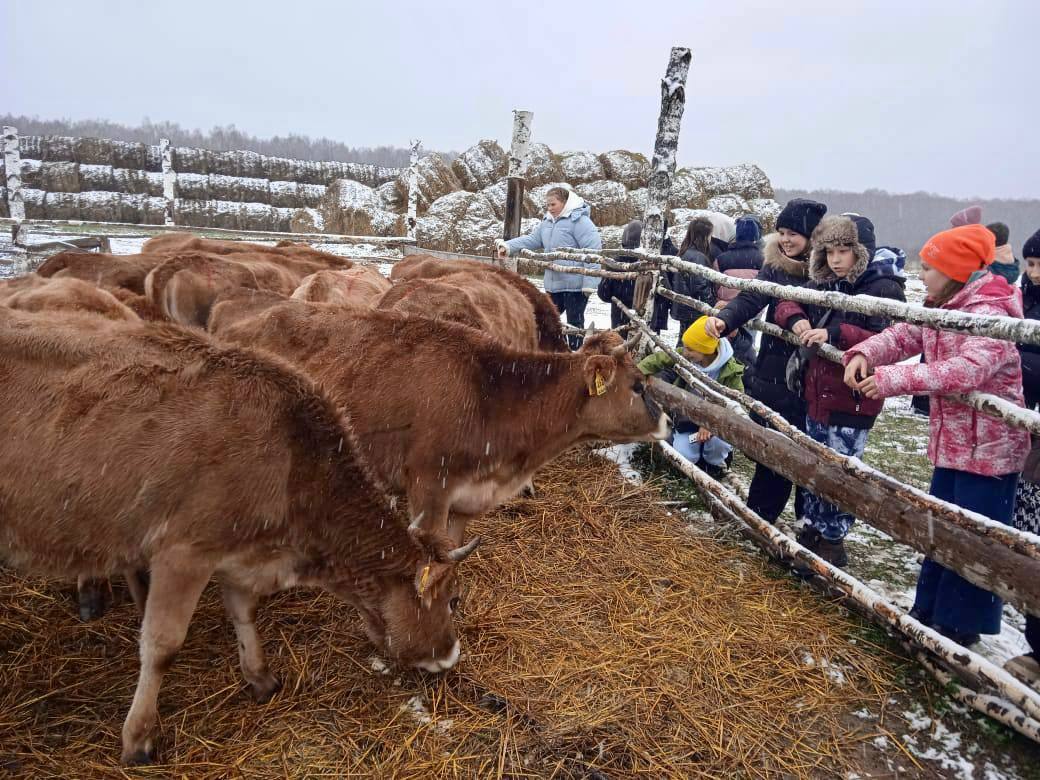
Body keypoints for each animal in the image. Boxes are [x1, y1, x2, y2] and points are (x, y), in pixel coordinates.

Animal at [0, 307, 474, 765]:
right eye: (449, 598)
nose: (451, 654)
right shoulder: (184, 553)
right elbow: (162, 645)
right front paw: (139, 738)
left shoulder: (238, 550)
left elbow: (243, 611)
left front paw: (260, 676)